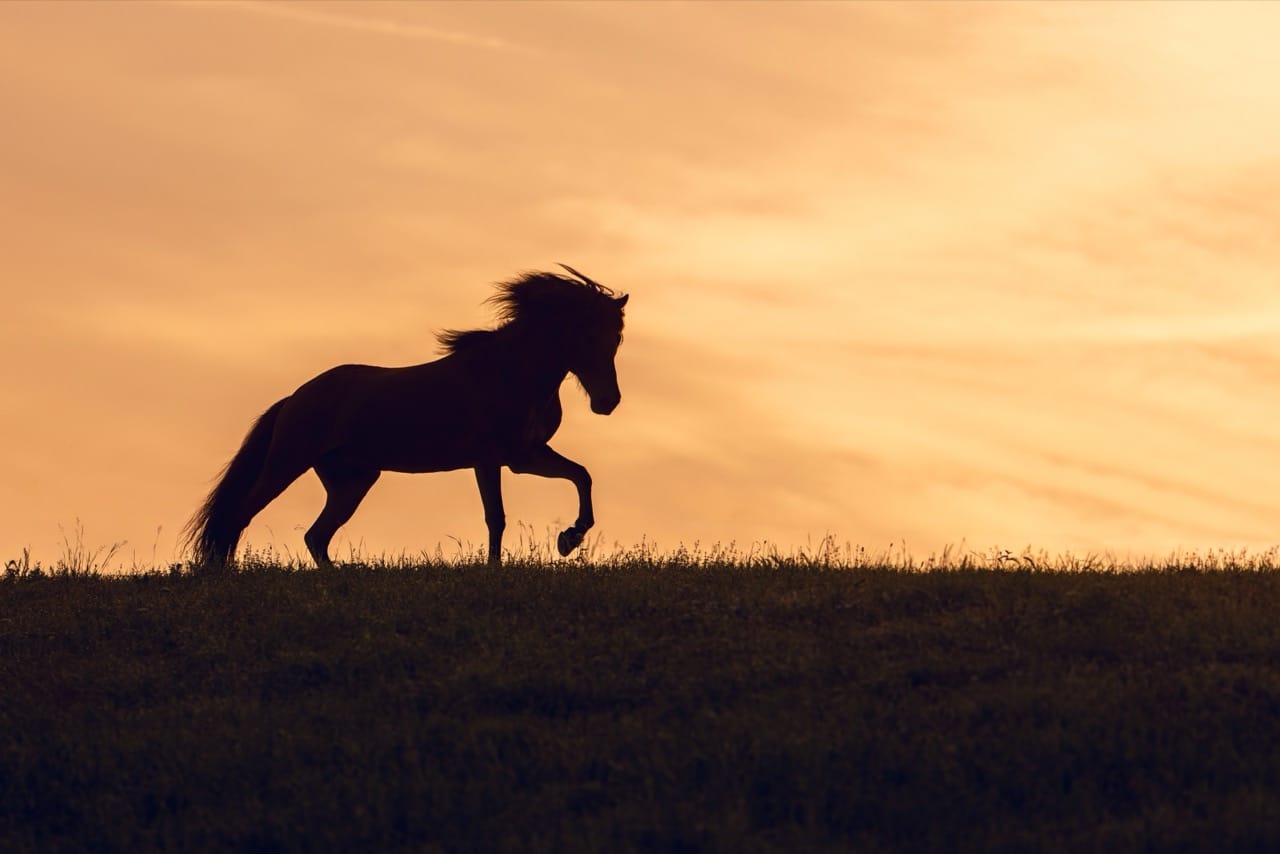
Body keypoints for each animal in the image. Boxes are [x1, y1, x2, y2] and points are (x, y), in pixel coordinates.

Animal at [184, 265, 627, 569]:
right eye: (588, 334)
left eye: (617, 337)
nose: (608, 401)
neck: (511, 372)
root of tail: (294, 398)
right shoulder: (490, 459)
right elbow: (496, 517)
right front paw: (498, 567)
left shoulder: (523, 456)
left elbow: (581, 475)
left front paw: (569, 539)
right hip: (286, 464)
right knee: (241, 515)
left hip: (353, 480)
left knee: (316, 535)